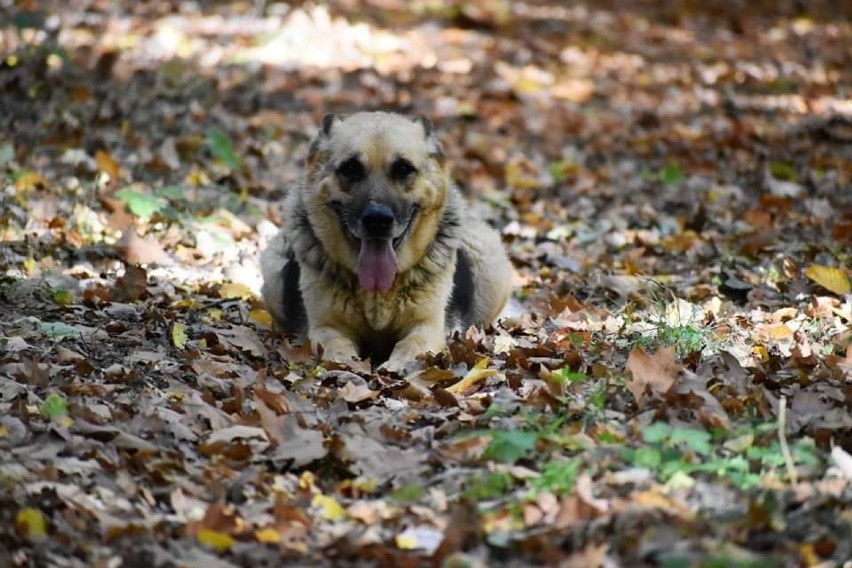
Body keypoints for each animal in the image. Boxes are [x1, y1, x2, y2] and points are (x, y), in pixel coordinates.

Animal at [260, 112, 512, 370]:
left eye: (403, 169)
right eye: (350, 169)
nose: (377, 220)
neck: (377, 295)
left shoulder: (428, 327)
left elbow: (411, 344)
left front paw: (398, 364)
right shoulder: (326, 327)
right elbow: (336, 345)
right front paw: (346, 362)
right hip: (274, 269)